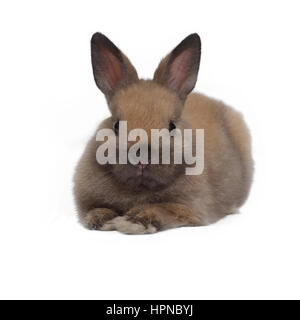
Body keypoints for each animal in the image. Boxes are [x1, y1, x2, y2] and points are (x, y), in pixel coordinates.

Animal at [72, 32, 253, 234]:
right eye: (117, 125)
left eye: (172, 126)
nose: (141, 156)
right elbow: (96, 209)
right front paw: (106, 220)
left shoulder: (190, 208)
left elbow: (160, 209)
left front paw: (131, 221)